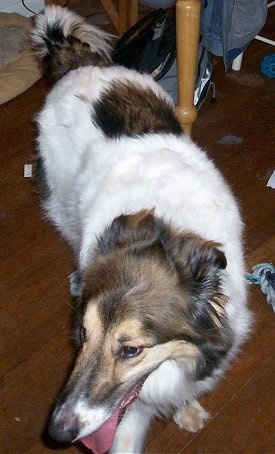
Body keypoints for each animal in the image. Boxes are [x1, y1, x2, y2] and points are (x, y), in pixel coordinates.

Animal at [31, 5, 252, 452]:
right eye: (82, 334)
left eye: (131, 350)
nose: (58, 433)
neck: (170, 232)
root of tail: (79, 63)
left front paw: (186, 407)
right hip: (62, 203)